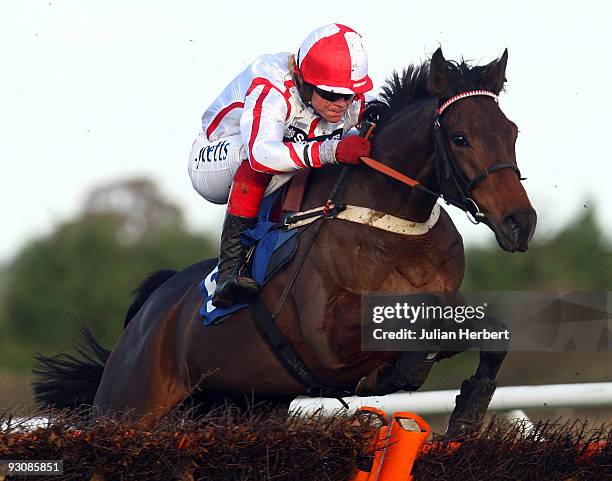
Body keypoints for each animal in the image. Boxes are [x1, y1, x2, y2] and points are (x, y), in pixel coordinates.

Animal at [32, 47, 536, 436]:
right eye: (460, 137)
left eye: (512, 132)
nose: (520, 222)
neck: (387, 221)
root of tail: (145, 317)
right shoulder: (329, 341)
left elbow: (489, 334)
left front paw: (468, 410)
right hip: (130, 407)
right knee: (250, 160)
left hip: (243, 405)